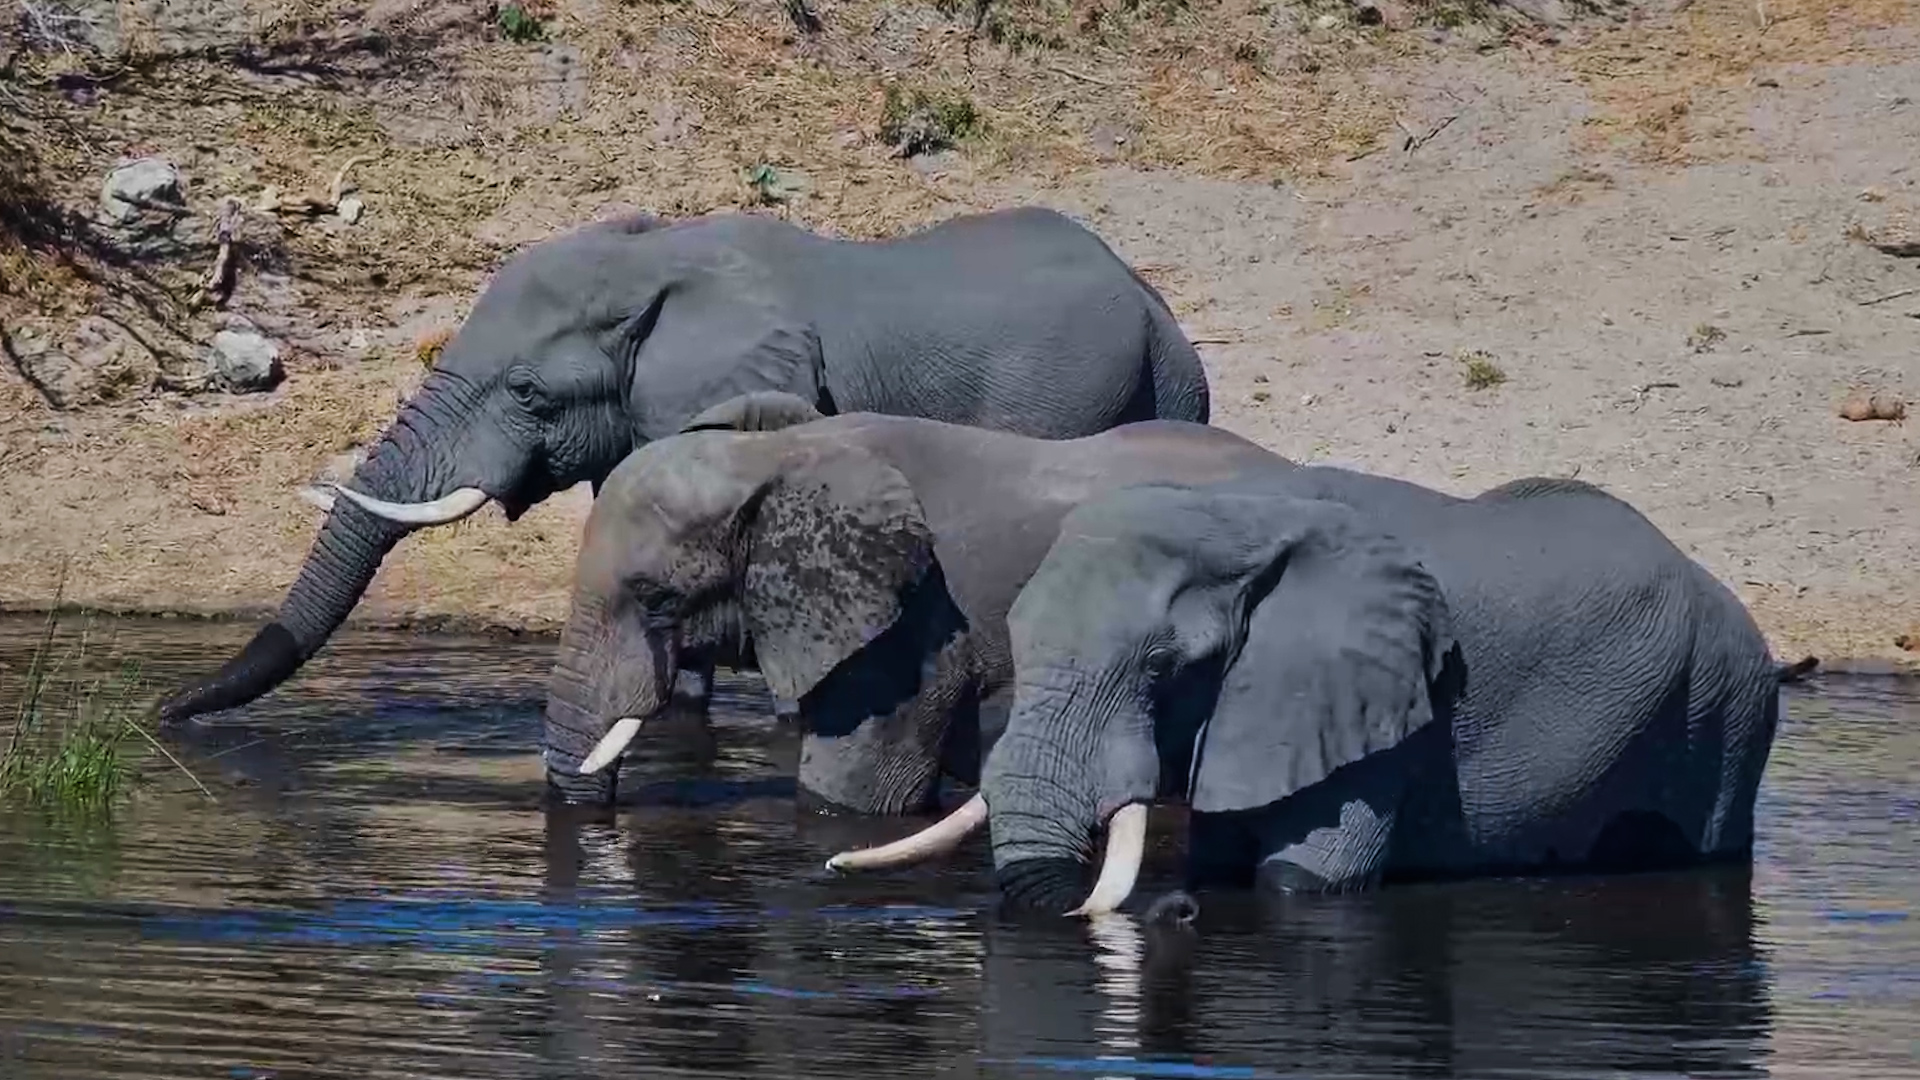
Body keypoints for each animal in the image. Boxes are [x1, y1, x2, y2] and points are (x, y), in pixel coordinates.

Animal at [979, 464, 1815, 916]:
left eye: (1161, 667)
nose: (1175, 911)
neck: (1238, 512)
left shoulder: (1386, 705)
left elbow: (1300, 879)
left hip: (1726, 710)